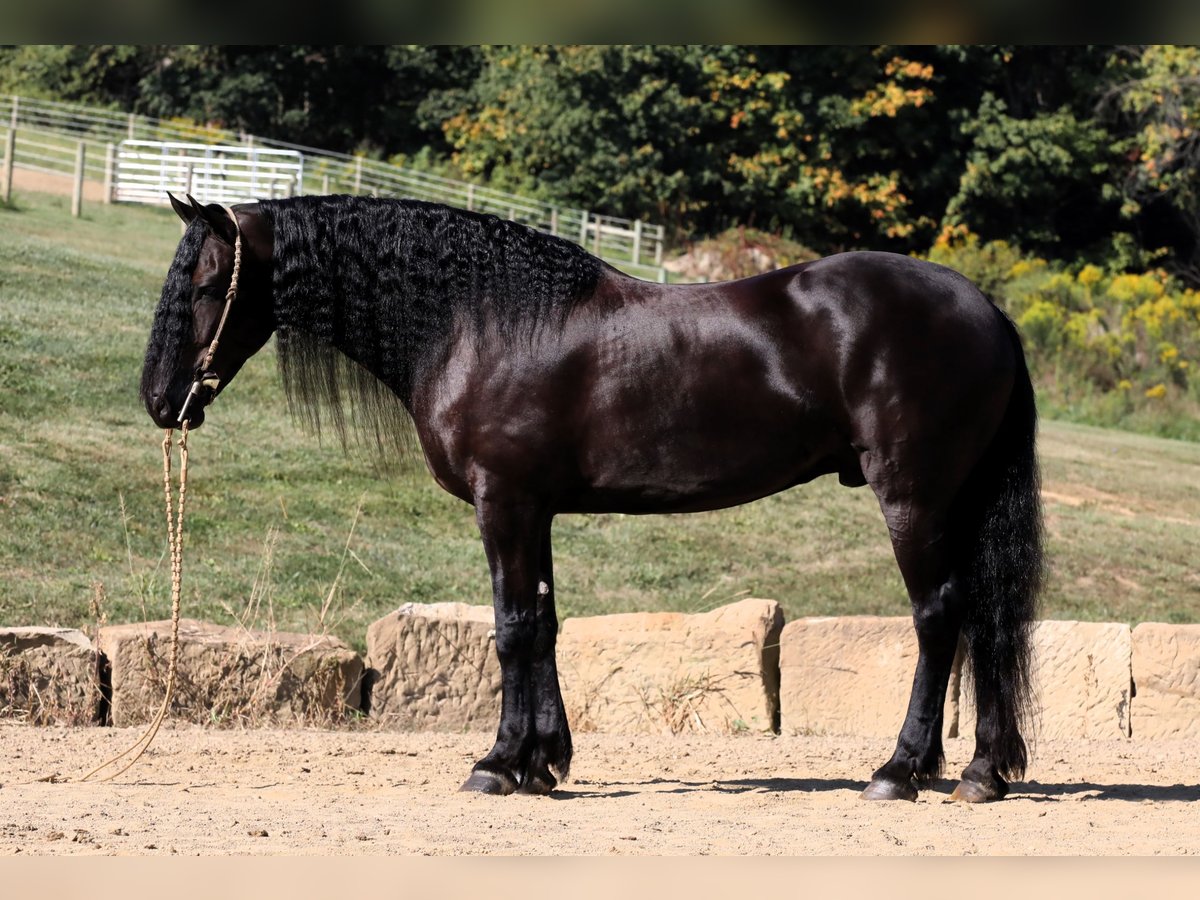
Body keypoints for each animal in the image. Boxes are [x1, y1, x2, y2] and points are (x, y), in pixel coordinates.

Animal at [140, 195, 1041, 801]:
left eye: (207, 285)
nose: (159, 401)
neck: (478, 320)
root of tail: (988, 309)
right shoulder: (533, 508)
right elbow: (542, 625)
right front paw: (542, 762)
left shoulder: (503, 502)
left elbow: (510, 629)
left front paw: (497, 765)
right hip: (957, 502)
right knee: (986, 619)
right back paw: (981, 772)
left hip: (913, 498)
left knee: (938, 618)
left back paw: (898, 770)